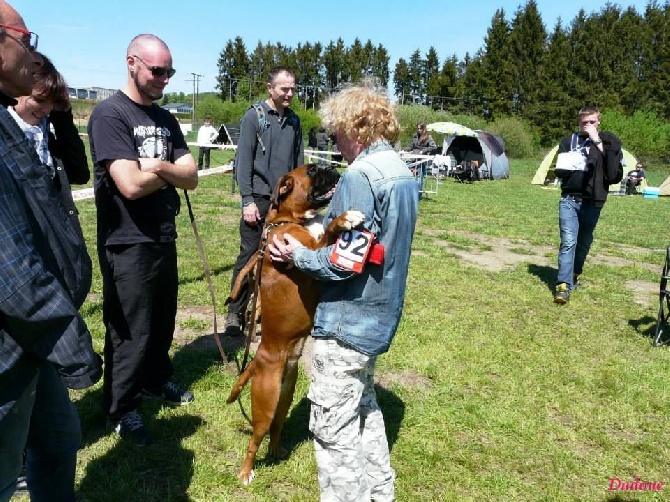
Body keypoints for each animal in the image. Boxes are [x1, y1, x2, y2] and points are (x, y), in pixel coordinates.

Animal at [227, 163, 364, 484]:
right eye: (313, 170)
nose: (333, 166)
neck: (288, 219)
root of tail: (257, 361)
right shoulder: (309, 252)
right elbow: (329, 230)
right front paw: (345, 219)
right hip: (265, 404)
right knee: (256, 438)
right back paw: (246, 472)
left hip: (284, 398)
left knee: (276, 429)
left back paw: (277, 453)